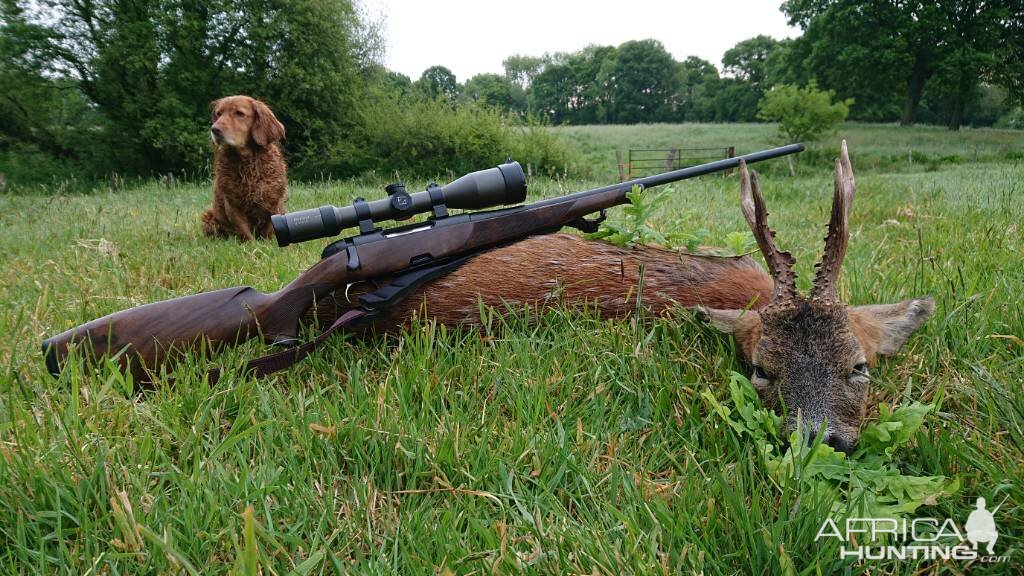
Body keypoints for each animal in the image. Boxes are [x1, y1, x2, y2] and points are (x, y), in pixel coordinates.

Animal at [201, 95, 286, 238]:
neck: (247, 163)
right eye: (218, 114)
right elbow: (243, 230)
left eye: (239, 113)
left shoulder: (275, 200)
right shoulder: (231, 203)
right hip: (209, 216)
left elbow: (270, 228)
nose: (214, 129)